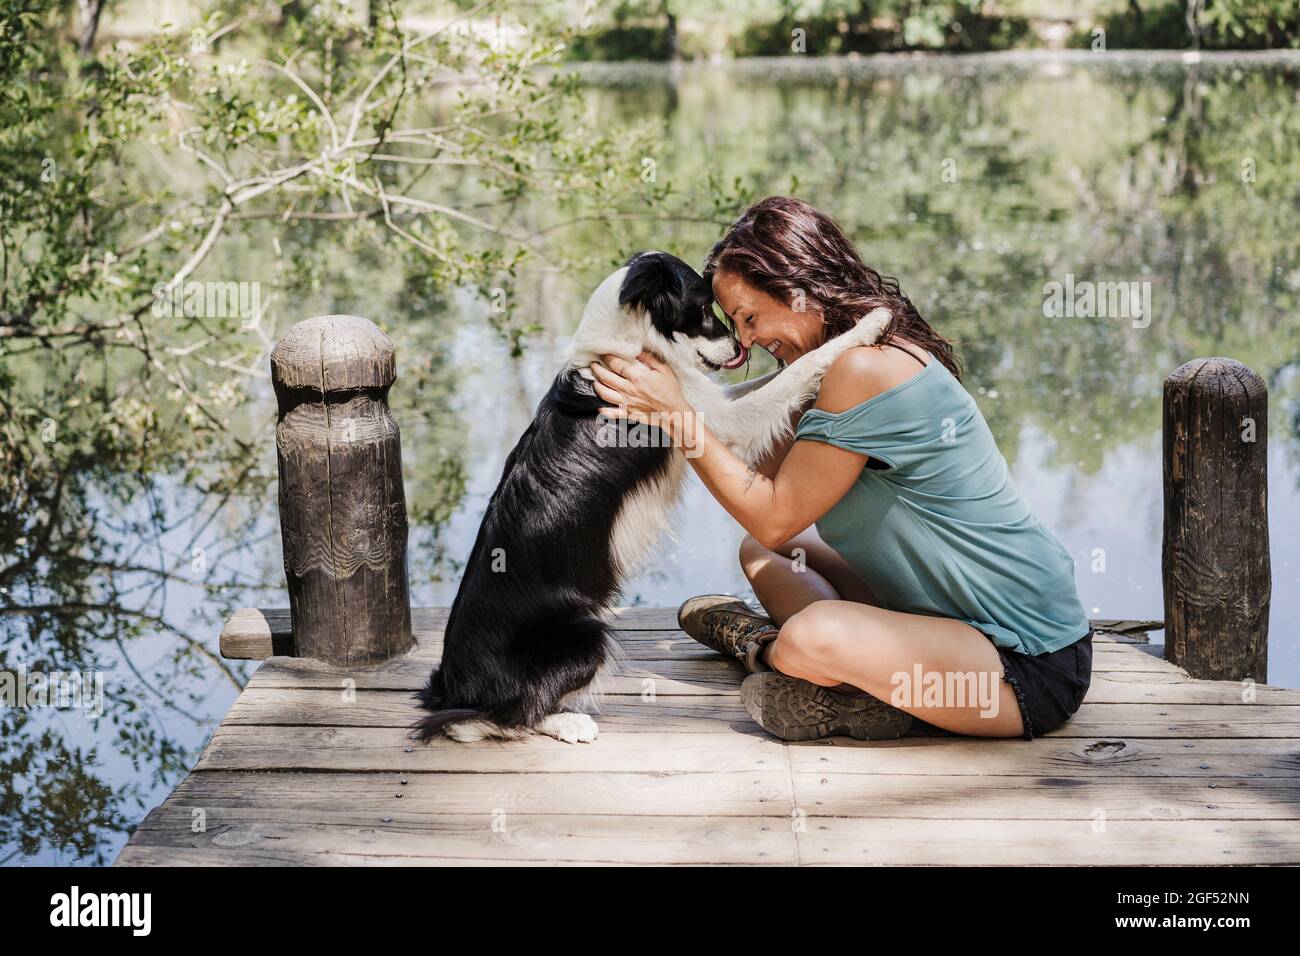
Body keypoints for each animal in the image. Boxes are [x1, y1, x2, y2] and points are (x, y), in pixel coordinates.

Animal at [410, 251, 889, 743]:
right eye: (702, 307)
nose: (739, 349)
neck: (623, 344)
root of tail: (454, 688)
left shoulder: (702, 403)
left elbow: (777, 374)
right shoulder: (723, 421)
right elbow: (799, 368)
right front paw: (871, 322)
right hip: (586, 635)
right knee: (504, 716)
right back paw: (569, 722)